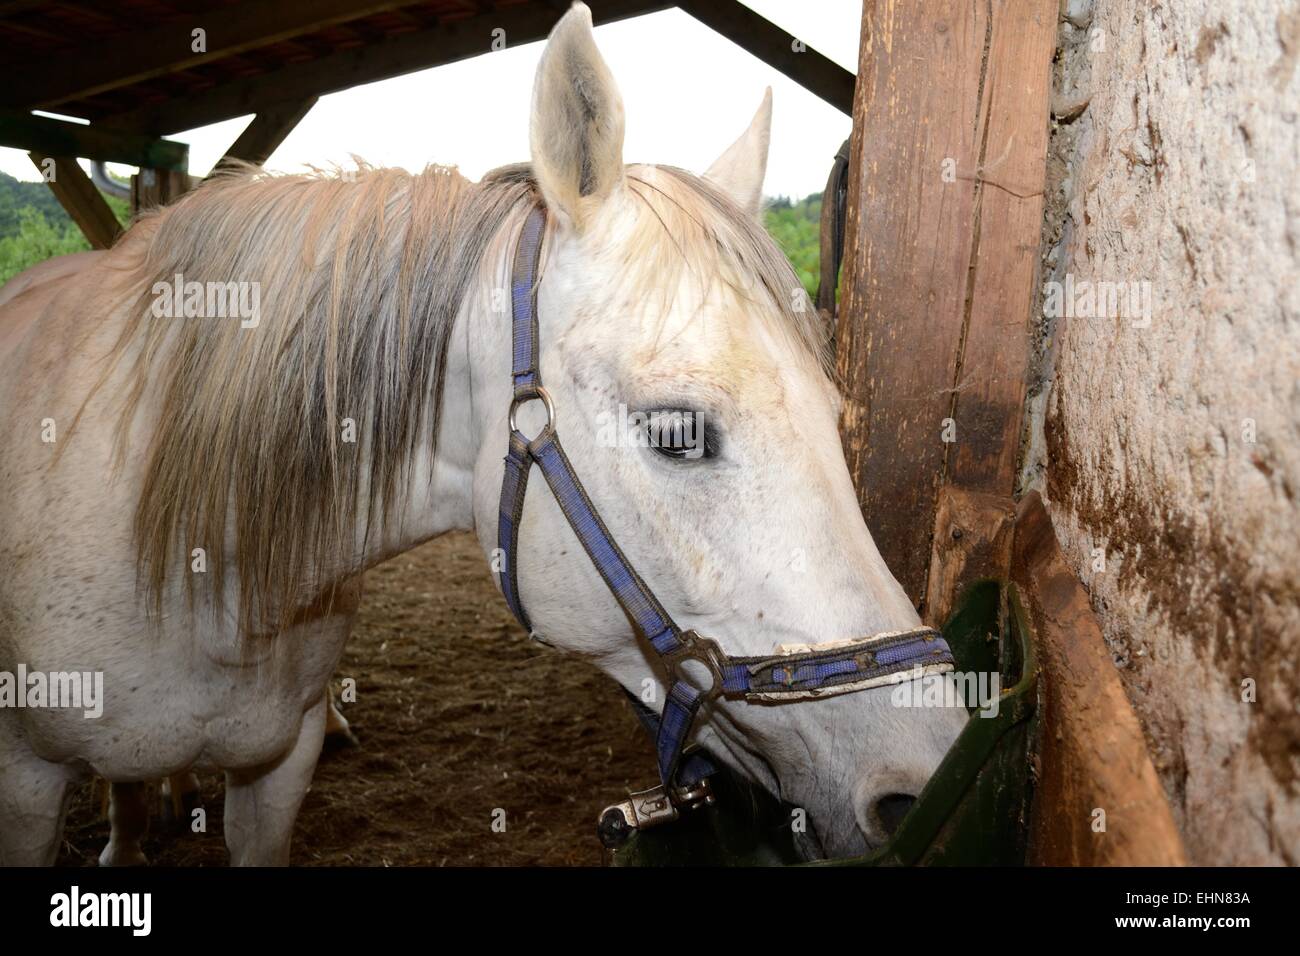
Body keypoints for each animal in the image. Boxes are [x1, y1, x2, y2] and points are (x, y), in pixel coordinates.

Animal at [0, 2, 967, 866]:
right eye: (680, 432)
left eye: (832, 418)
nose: (921, 782)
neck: (207, 575)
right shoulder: (26, 783)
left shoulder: (278, 771)